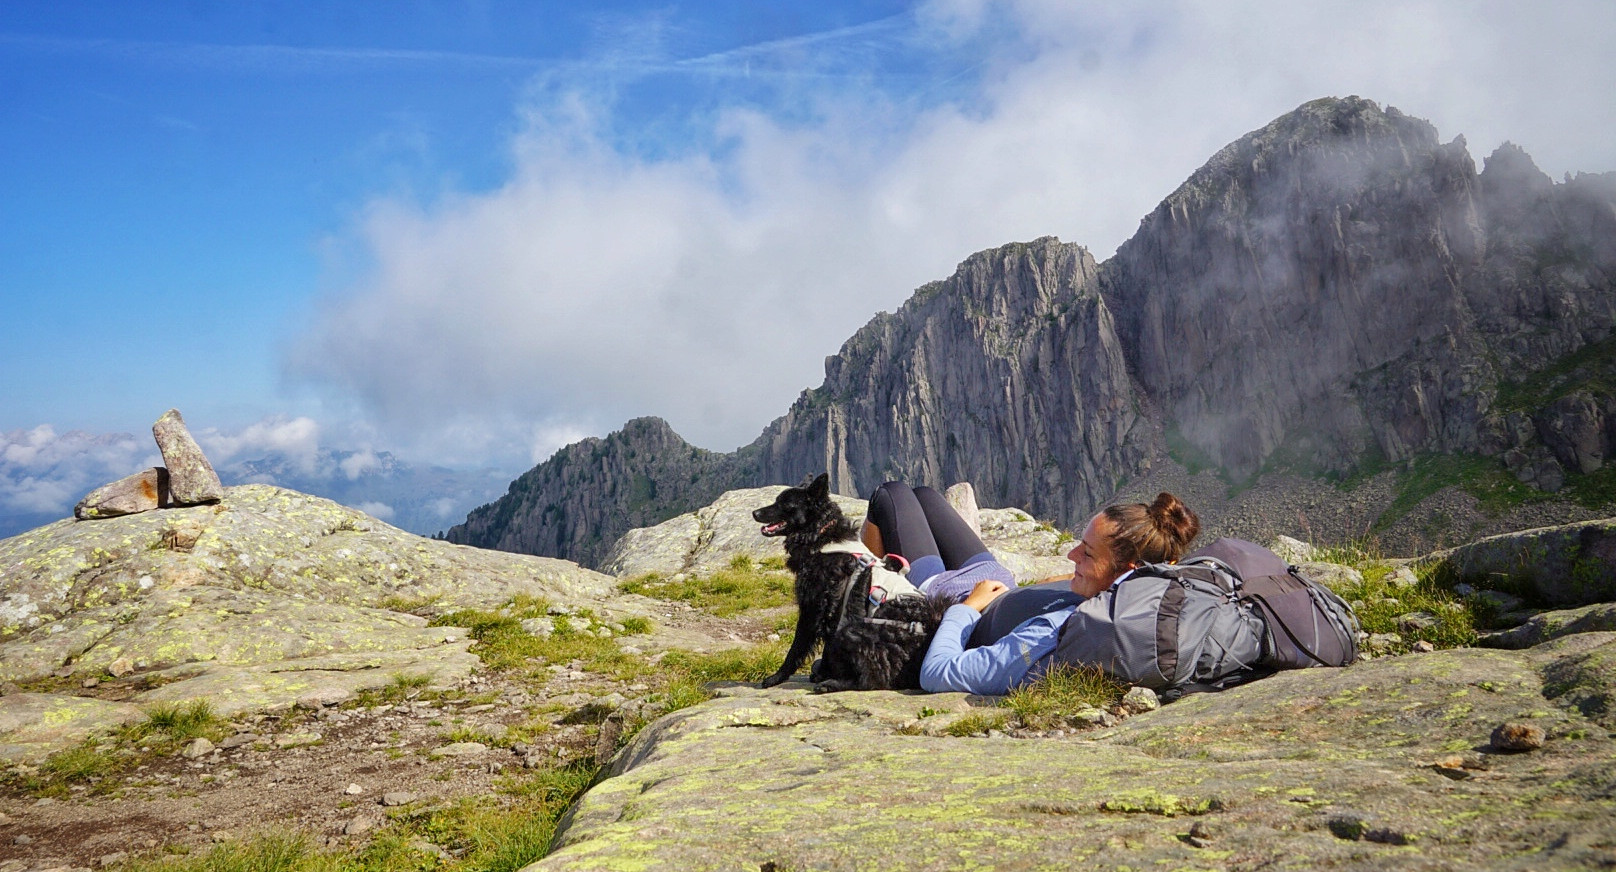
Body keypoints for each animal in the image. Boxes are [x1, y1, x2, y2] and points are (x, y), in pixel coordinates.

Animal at [749, 474, 950, 691]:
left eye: (785, 504)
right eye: (776, 500)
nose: (754, 512)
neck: (822, 535)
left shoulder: (815, 608)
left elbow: (797, 647)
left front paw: (777, 677)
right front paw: (821, 673)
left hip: (853, 630)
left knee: (873, 679)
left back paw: (831, 684)